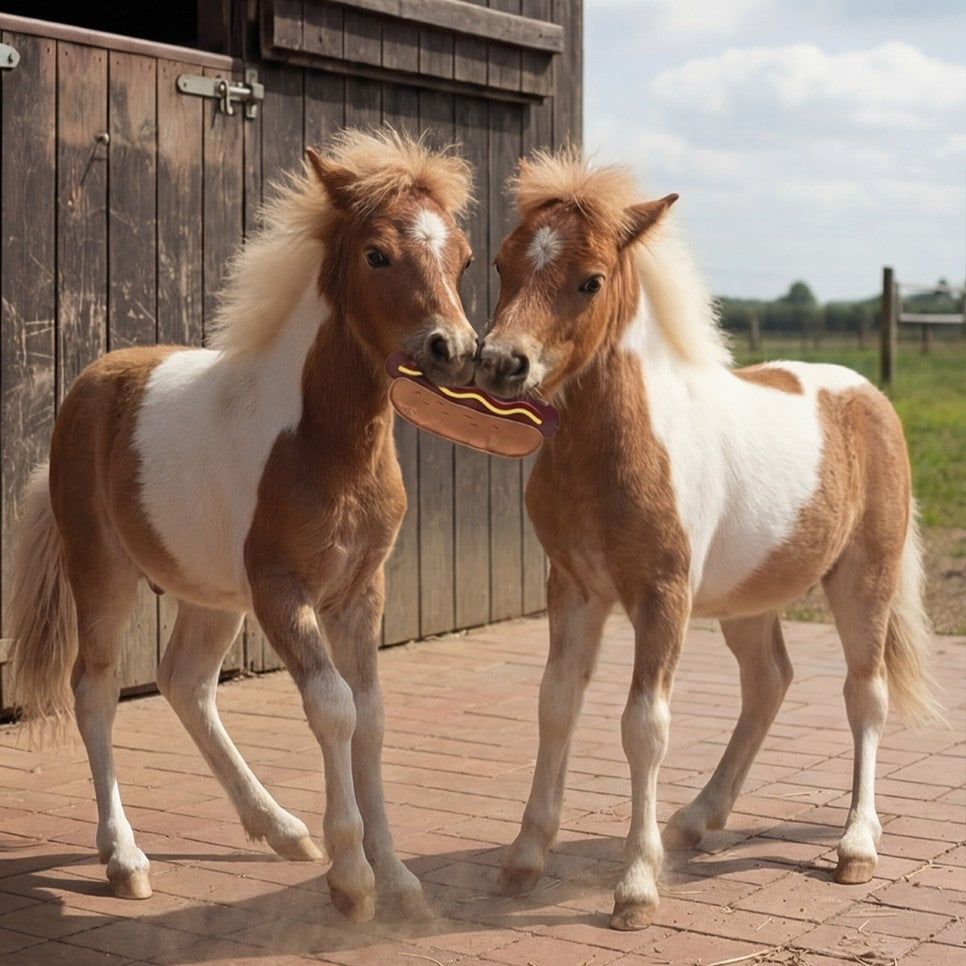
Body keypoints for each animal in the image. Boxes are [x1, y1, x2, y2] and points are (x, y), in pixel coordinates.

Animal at [7, 128, 477, 923]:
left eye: (466, 258)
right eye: (377, 254)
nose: (454, 349)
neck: (321, 440)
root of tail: (83, 391)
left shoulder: (360, 591)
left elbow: (373, 716)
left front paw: (397, 878)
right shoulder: (282, 590)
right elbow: (334, 708)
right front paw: (353, 882)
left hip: (210, 591)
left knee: (185, 683)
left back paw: (281, 829)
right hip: (103, 572)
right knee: (96, 690)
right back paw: (125, 858)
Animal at [475, 149, 942, 930]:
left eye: (589, 279)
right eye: (503, 263)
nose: (502, 362)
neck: (617, 445)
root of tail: (870, 394)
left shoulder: (662, 595)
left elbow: (644, 726)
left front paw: (636, 887)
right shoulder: (574, 587)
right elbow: (556, 705)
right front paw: (523, 859)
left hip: (863, 578)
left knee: (864, 695)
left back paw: (856, 845)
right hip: (749, 597)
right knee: (769, 682)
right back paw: (696, 820)